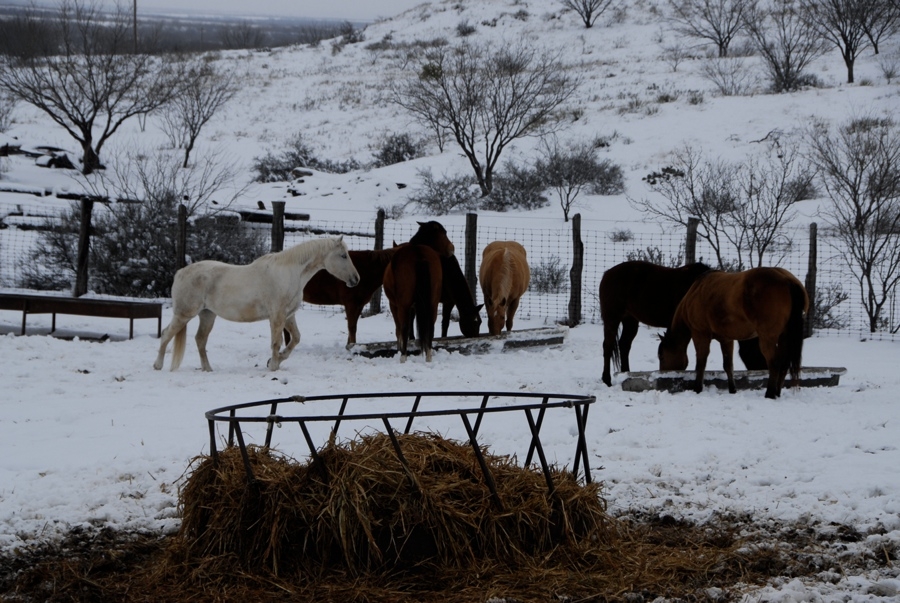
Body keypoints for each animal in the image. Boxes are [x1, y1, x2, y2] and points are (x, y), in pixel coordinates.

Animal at [152, 237, 358, 372]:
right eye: (343, 256)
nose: (356, 280)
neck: (289, 274)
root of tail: (180, 273)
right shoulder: (277, 317)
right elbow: (276, 342)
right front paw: (273, 366)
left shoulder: (288, 316)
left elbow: (296, 339)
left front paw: (277, 360)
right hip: (184, 314)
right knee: (166, 334)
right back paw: (158, 365)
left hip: (207, 315)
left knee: (200, 340)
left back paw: (208, 369)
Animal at [596, 260, 768, 386]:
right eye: (758, 352)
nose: (764, 371)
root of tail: (606, 274)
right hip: (612, 317)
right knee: (608, 346)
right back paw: (607, 380)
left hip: (630, 319)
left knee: (624, 345)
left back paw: (625, 372)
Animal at [652, 266, 808, 398]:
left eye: (662, 356)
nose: (663, 375)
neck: (695, 292)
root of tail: (788, 280)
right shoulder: (726, 339)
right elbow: (728, 365)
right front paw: (732, 389)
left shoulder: (700, 334)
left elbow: (701, 362)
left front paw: (697, 388)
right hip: (784, 337)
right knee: (784, 364)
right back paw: (777, 392)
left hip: (767, 338)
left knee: (774, 363)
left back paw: (770, 394)